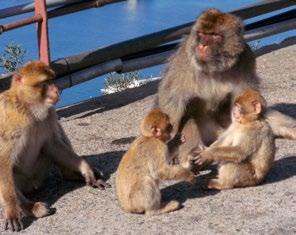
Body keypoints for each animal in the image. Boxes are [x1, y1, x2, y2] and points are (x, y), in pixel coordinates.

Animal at [0, 61, 110, 231]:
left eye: (52, 80)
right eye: (45, 83)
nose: (57, 90)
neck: (28, 109)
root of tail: (33, 184)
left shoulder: (50, 113)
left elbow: (52, 145)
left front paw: (86, 170)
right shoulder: (10, 118)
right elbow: (3, 160)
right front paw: (12, 210)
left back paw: (71, 174)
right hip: (22, 181)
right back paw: (28, 207)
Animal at [156, 9, 294, 167]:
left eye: (214, 35)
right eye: (202, 34)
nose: (202, 45)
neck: (214, 67)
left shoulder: (245, 58)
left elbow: (248, 99)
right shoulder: (183, 59)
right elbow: (173, 100)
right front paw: (171, 149)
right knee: (189, 112)